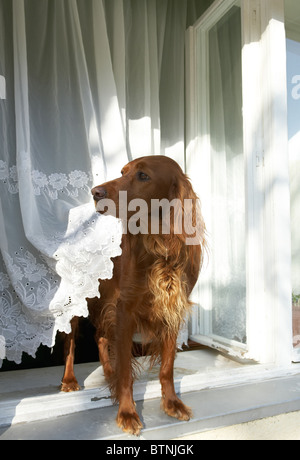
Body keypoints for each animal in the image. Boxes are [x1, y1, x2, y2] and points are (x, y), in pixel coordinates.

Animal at [61, 155, 206, 434]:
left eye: (143, 176)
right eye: (122, 172)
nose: (95, 193)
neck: (161, 245)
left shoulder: (171, 308)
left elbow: (167, 367)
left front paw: (172, 403)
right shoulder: (125, 310)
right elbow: (127, 372)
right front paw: (127, 413)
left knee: (101, 337)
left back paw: (108, 371)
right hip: (77, 304)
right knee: (71, 343)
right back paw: (69, 379)